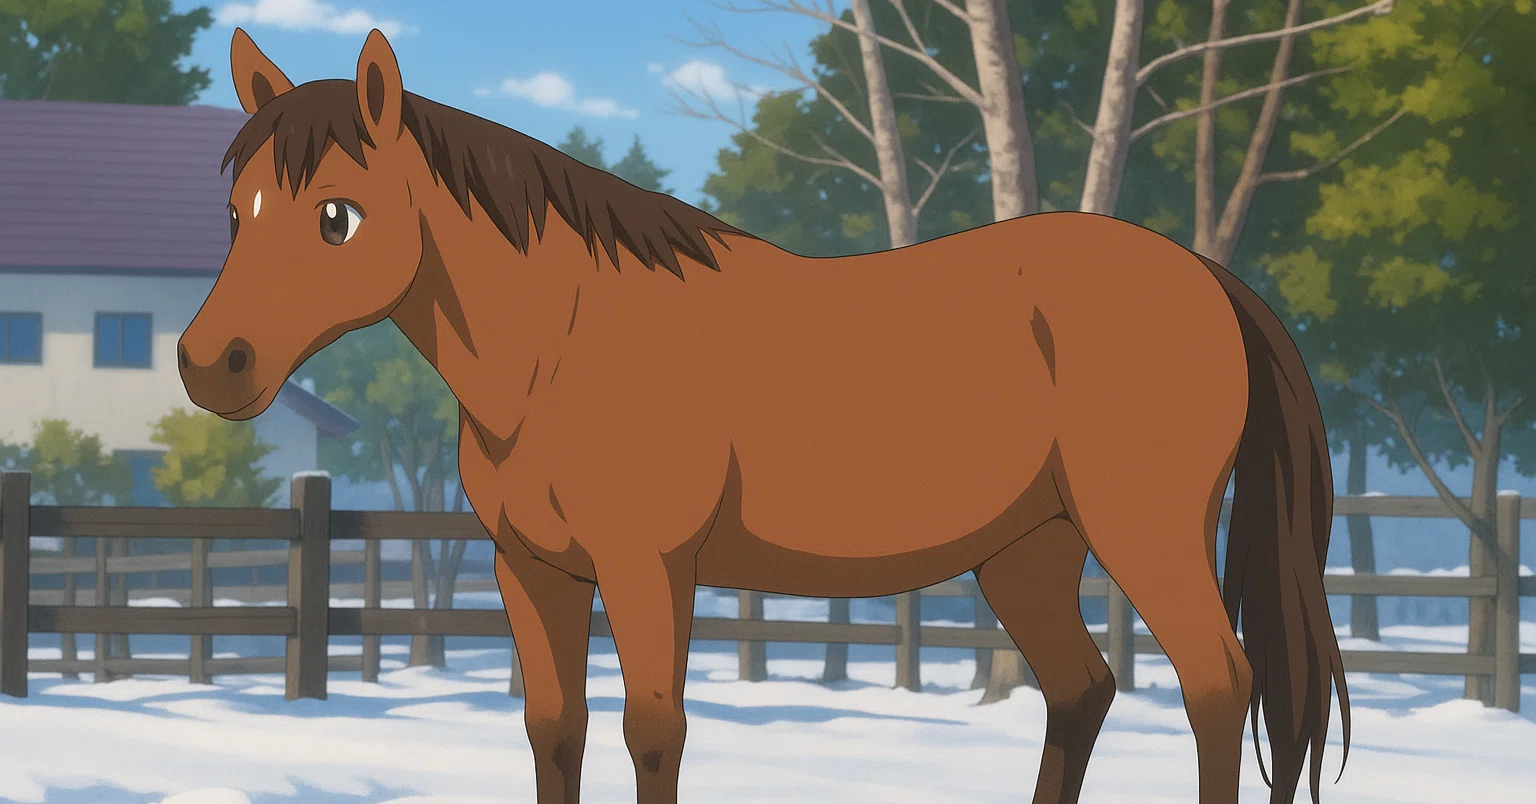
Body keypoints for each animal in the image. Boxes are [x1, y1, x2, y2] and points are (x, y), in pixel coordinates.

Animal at [178, 27, 1349, 804]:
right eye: (235, 215)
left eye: (338, 218)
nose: (208, 366)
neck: (564, 342)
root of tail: (1208, 278)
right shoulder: (533, 572)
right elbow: (554, 732)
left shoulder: (648, 568)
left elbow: (655, 731)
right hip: (1029, 551)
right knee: (1084, 691)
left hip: (1145, 533)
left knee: (1216, 686)